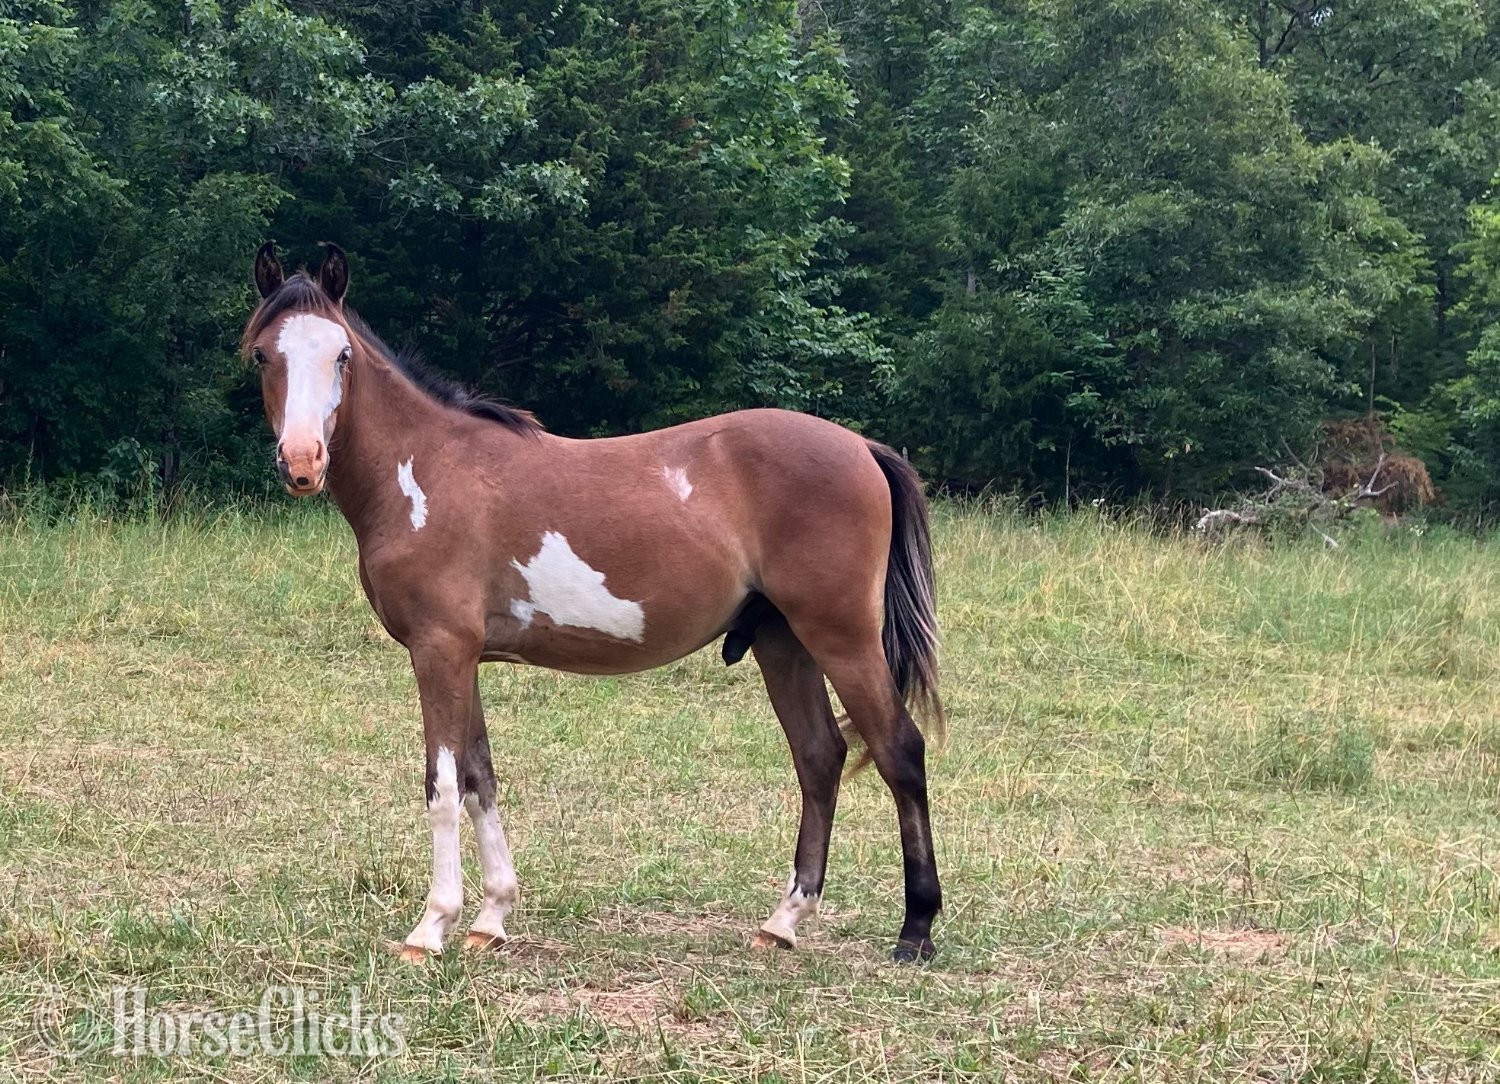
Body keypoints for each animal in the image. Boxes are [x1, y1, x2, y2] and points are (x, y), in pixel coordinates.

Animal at [241, 242, 946, 962]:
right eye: (264, 355)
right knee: (819, 757)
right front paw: (491, 917)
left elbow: (443, 787)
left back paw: (916, 928)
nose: (303, 462)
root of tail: (862, 446)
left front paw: (432, 927)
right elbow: (480, 778)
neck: (424, 471)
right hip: (784, 643)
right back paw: (784, 921)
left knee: (899, 749)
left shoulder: (439, 651)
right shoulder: (466, 657)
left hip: (841, 636)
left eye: (341, 354)